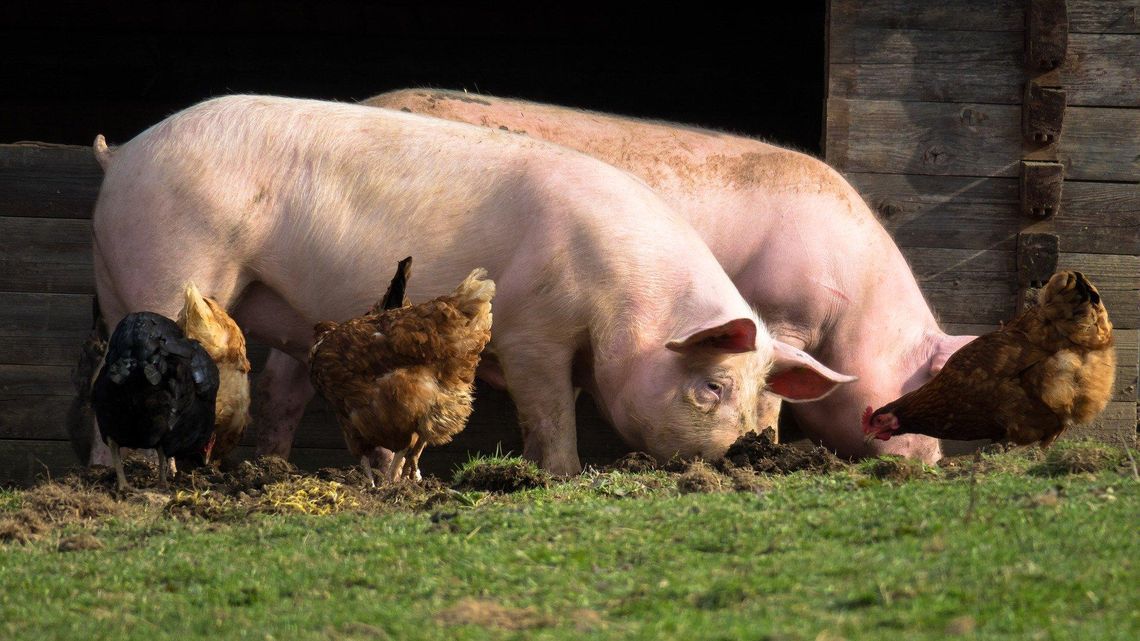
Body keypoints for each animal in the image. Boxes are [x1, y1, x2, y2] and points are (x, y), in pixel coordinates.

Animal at [88, 94, 852, 474]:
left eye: (757, 393)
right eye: (713, 386)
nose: (748, 452)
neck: (624, 300)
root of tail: (123, 154)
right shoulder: (532, 332)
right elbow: (550, 413)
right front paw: (561, 475)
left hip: (118, 277)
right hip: (176, 259)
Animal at [364, 88, 980, 458]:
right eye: (921, 385)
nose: (931, 461)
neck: (855, 307)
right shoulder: (780, 313)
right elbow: (771, 394)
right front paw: (768, 444)